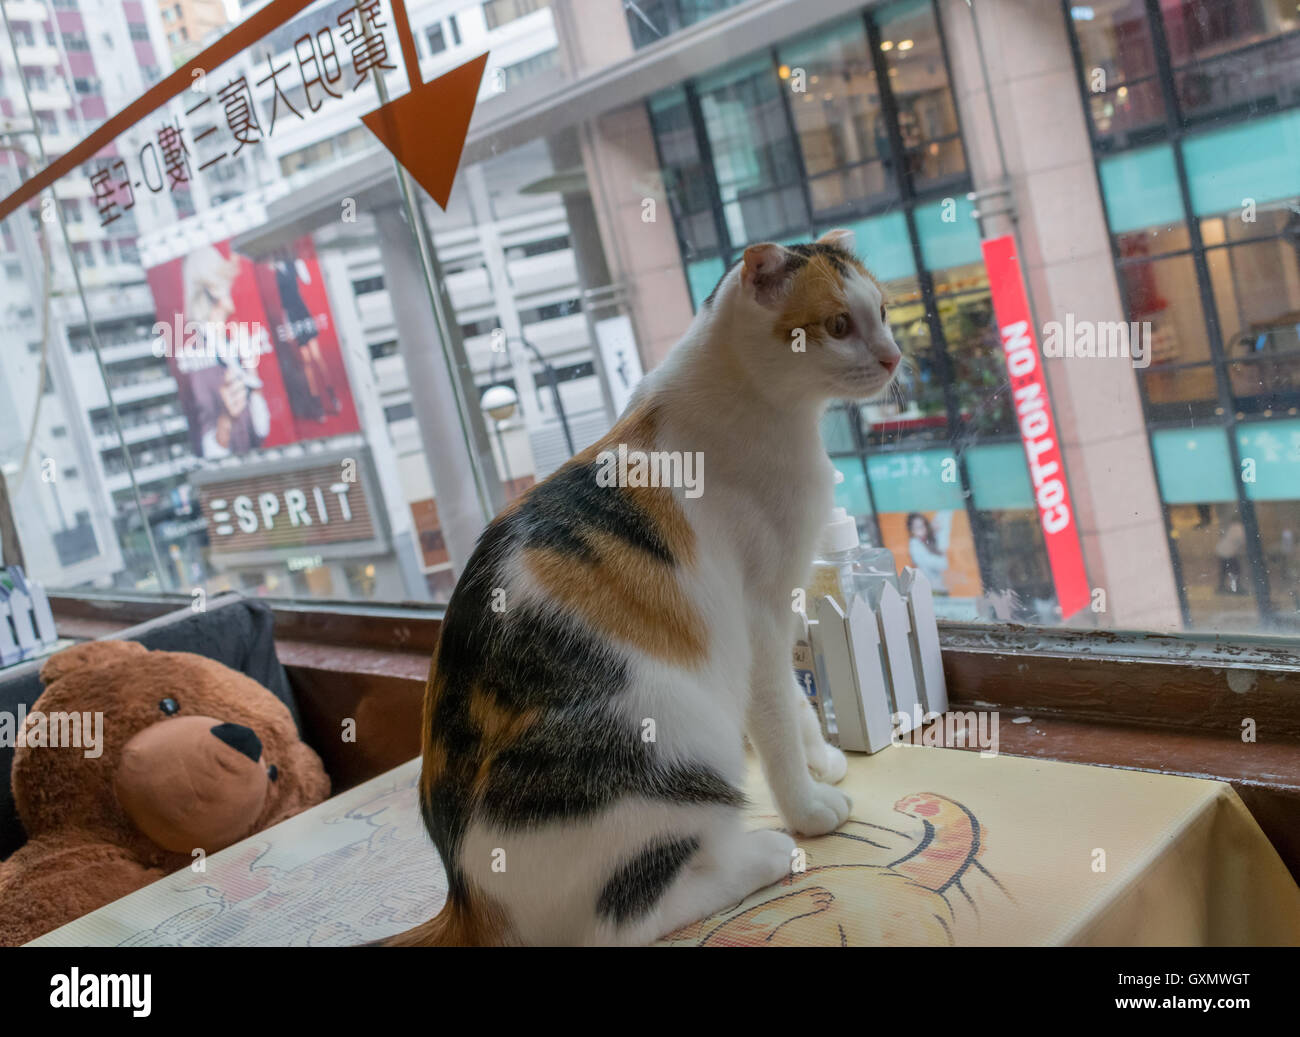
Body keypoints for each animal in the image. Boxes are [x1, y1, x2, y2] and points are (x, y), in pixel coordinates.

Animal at [379, 230, 899, 951]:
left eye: (884, 311)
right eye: (840, 325)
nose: (894, 356)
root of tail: (466, 898)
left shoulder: (780, 612)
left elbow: (798, 703)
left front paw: (822, 757)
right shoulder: (760, 617)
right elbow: (776, 717)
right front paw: (809, 805)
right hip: (676, 741)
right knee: (624, 921)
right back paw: (766, 854)